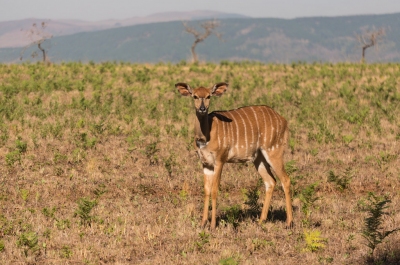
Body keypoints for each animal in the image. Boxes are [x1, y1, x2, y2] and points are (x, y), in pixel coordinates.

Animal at [176, 81, 294, 228]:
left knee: (285, 179)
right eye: (195, 96)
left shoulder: (220, 160)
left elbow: (214, 190)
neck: (206, 137)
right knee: (270, 181)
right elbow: (206, 190)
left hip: (274, 151)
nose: (202, 109)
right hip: (258, 158)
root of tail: (284, 120)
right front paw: (203, 223)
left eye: (209, 96)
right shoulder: (205, 163)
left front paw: (213, 225)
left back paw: (289, 222)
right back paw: (261, 220)